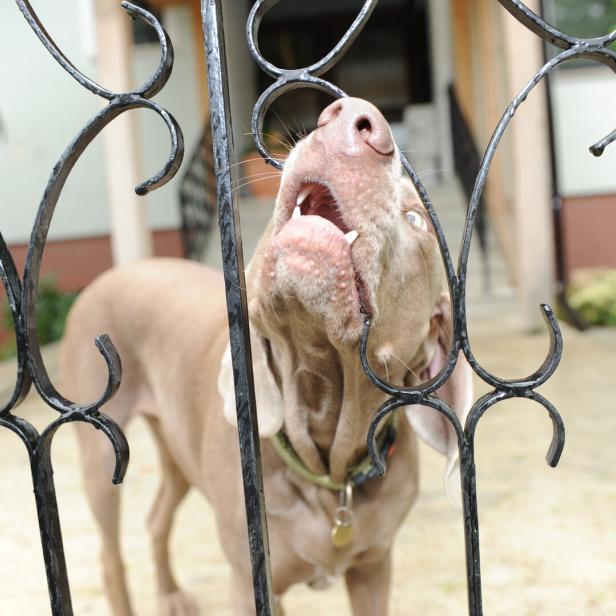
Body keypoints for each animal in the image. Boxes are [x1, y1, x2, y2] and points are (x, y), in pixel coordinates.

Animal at [61, 98, 472, 612]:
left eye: (416, 219)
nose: (354, 118)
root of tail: (113, 273)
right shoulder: (251, 579)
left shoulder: (374, 567)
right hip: (100, 451)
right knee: (109, 553)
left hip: (174, 443)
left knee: (156, 517)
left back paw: (171, 594)